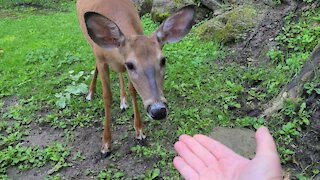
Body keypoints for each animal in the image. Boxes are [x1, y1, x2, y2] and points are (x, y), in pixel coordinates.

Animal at [77, 0, 196, 155]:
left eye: (163, 60)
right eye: (131, 65)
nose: (158, 110)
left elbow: (133, 90)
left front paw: (139, 132)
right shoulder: (101, 58)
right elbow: (107, 96)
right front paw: (106, 144)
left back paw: (123, 101)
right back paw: (90, 93)